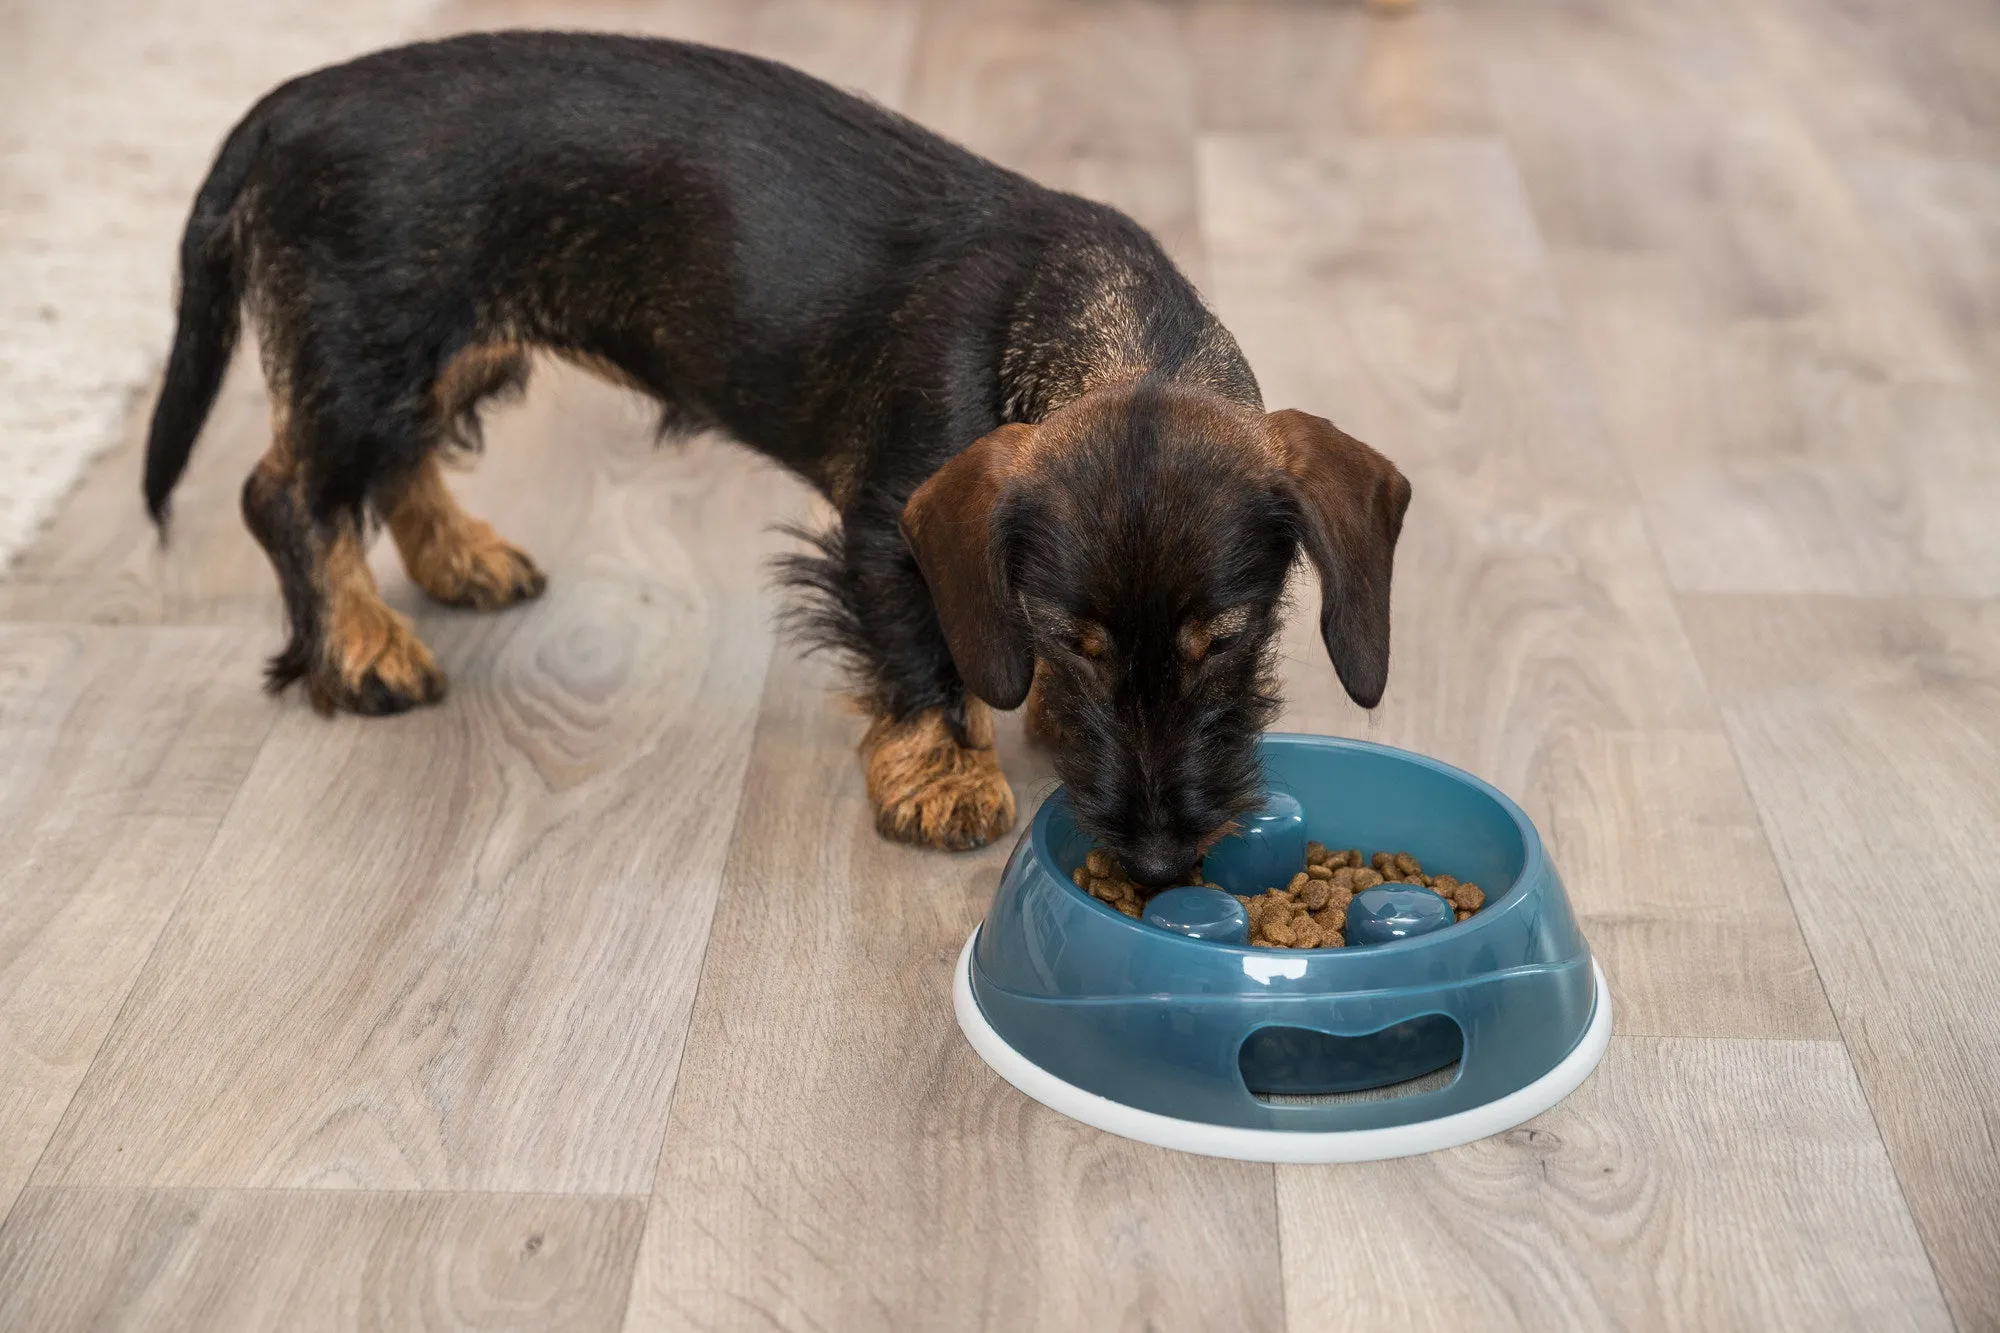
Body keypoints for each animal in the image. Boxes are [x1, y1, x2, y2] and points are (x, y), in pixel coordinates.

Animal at [145, 31, 1408, 880]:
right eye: (1073, 639)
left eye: (1228, 640)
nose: (1154, 864)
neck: (1085, 321)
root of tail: (292, 103)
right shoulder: (894, 528)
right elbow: (923, 657)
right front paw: (944, 776)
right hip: (371, 349)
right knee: (285, 493)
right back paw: (362, 651)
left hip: (436, 355)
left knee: (385, 470)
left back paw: (458, 558)